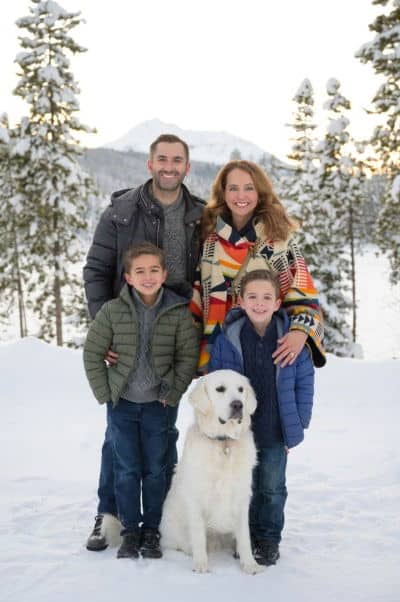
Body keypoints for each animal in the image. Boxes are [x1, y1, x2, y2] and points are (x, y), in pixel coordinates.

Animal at [160, 370, 262, 572]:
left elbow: (244, 537)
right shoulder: (197, 499)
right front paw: (201, 565)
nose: (238, 404)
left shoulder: (240, 497)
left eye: (241, 389)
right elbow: (199, 536)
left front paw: (249, 565)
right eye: (220, 389)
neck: (223, 443)